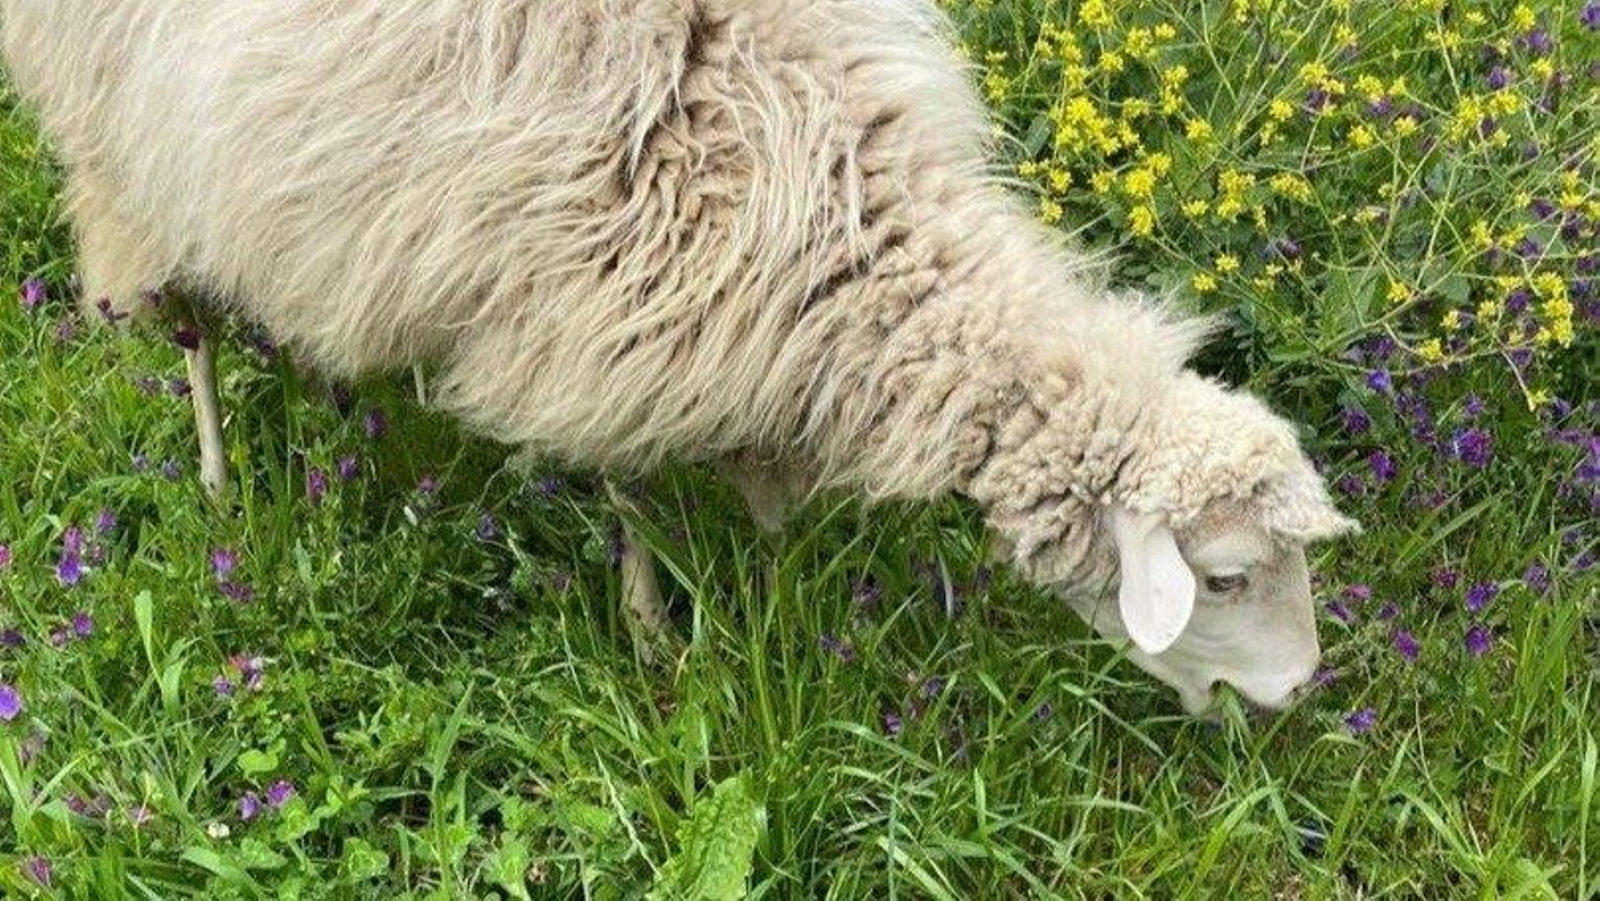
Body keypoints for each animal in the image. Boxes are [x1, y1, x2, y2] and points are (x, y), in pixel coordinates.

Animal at [1, 0, 1357, 714]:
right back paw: (222, 478)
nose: (1302, 692)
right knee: (185, 325)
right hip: (123, 145)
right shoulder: (602, 315)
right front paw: (656, 635)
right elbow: (632, 487)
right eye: (1227, 577)